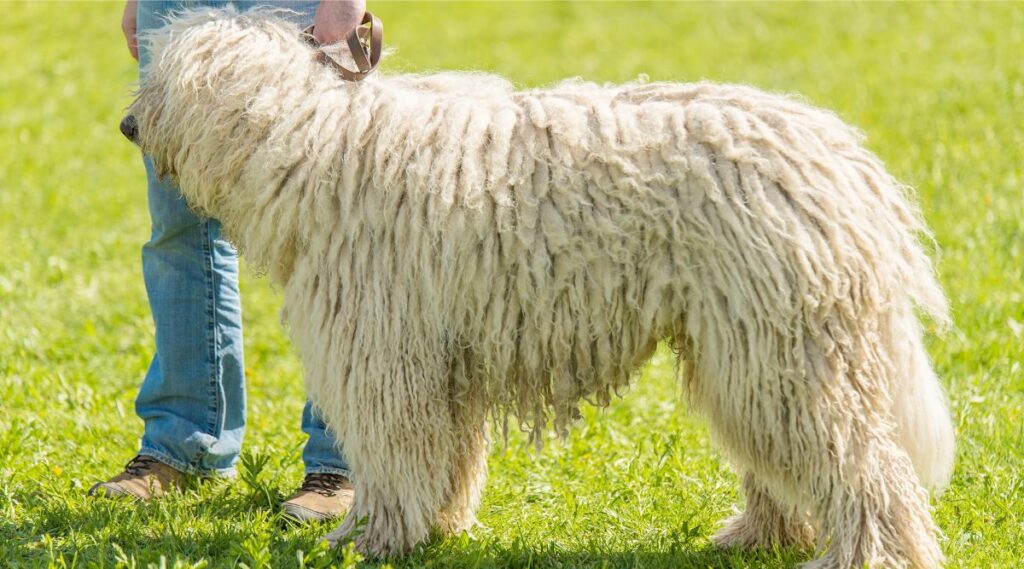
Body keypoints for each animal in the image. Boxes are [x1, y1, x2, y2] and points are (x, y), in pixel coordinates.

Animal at [123, 8, 954, 569]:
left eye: (162, 80)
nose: (129, 124)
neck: (311, 142)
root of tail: (845, 164)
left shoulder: (383, 354)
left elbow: (393, 455)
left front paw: (371, 537)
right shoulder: (439, 358)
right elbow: (448, 456)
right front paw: (440, 526)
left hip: (783, 350)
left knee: (867, 467)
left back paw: (872, 552)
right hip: (754, 351)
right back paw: (759, 534)